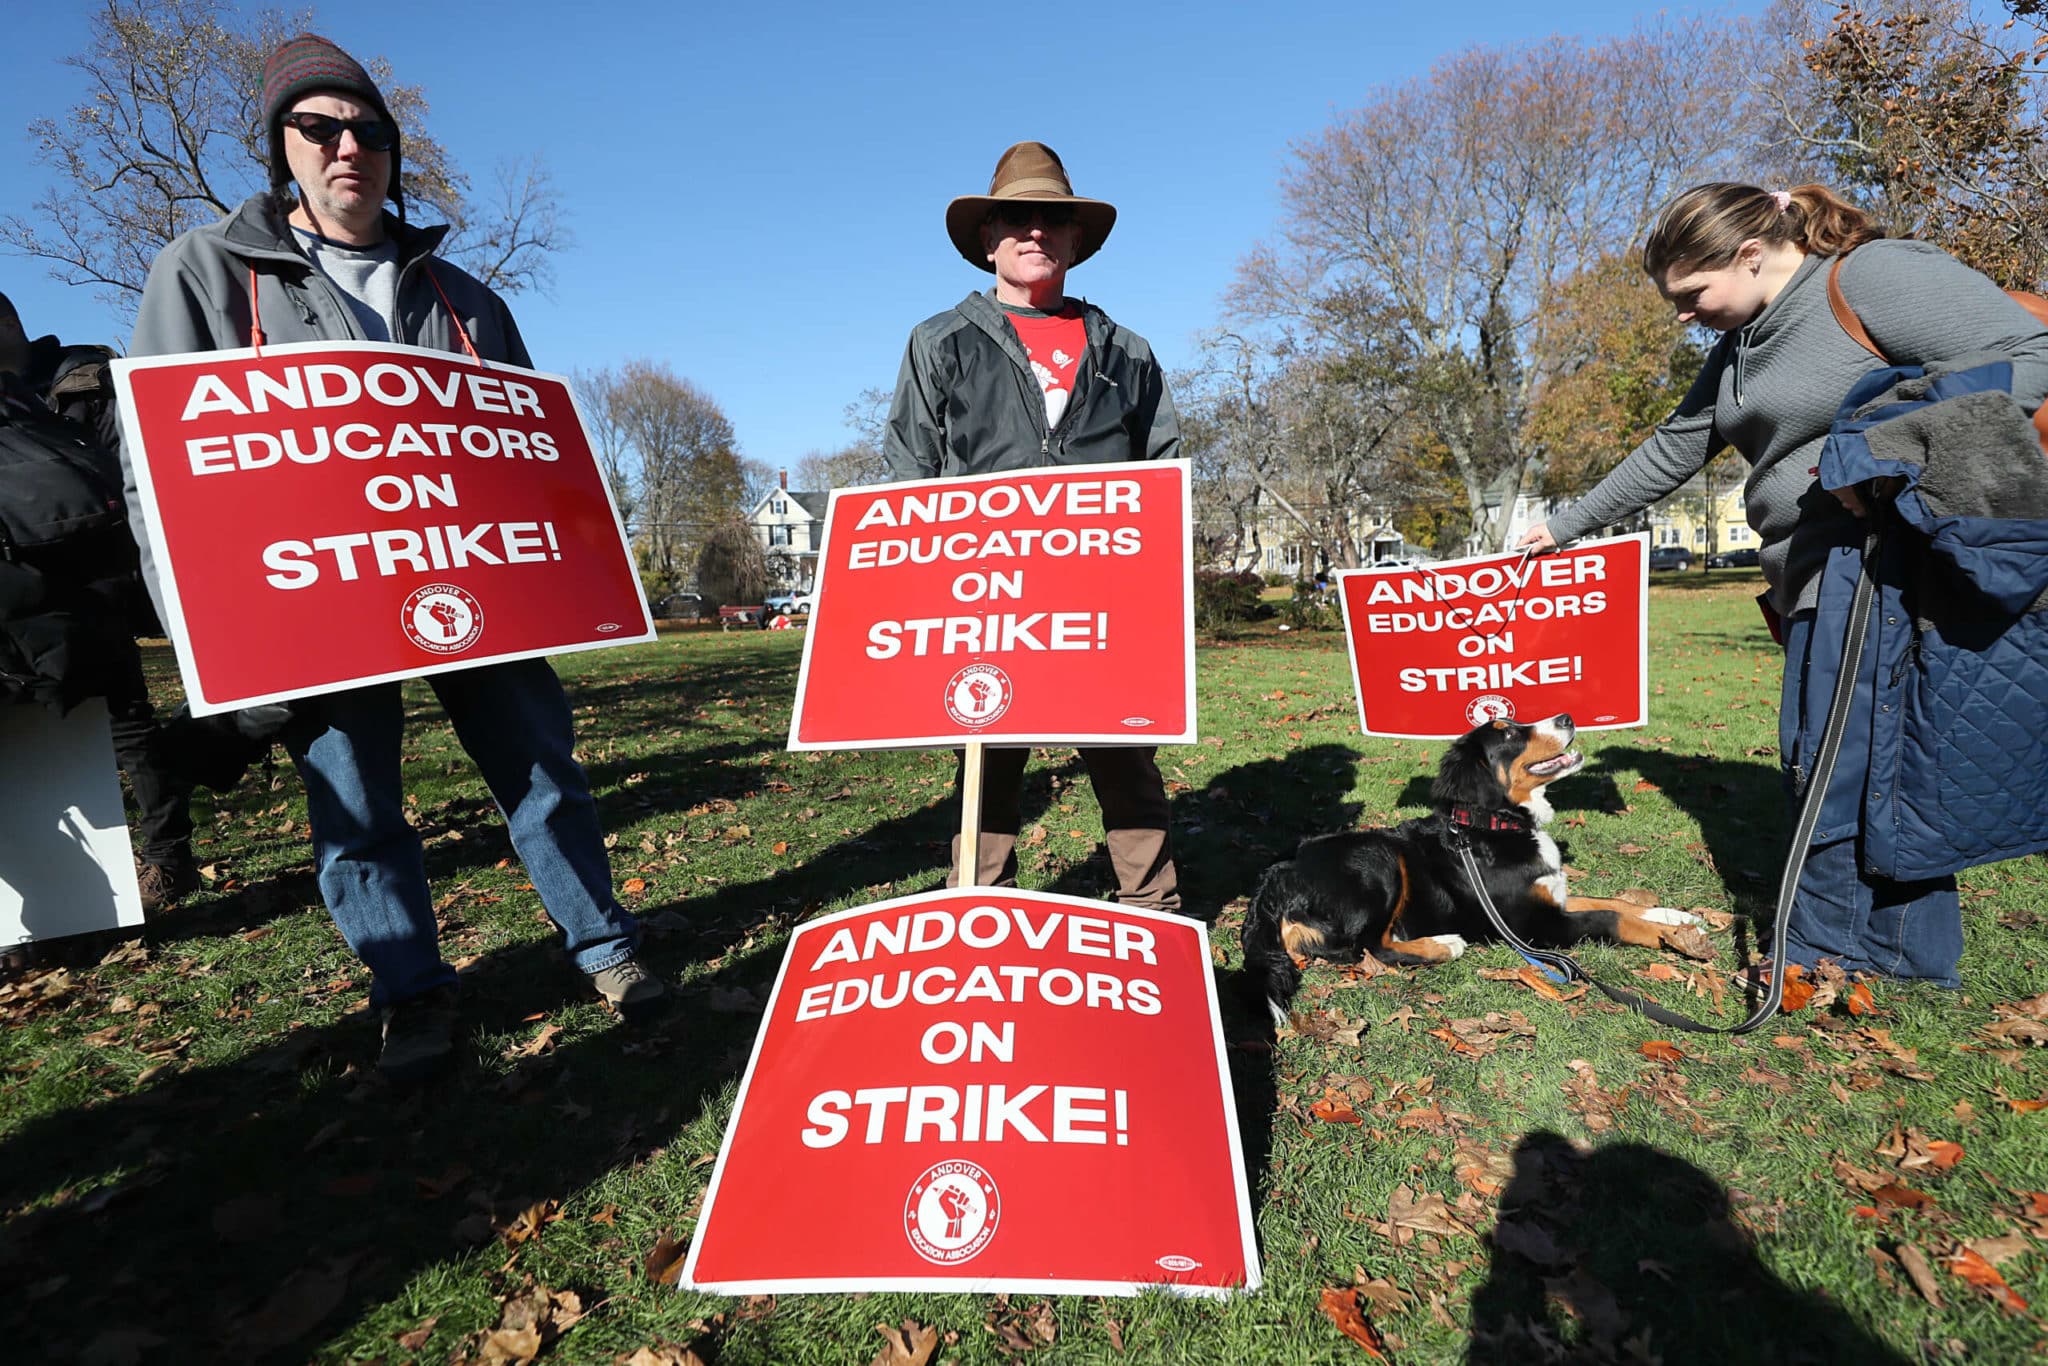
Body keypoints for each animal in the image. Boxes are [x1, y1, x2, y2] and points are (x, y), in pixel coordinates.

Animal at [1245, 716, 1695, 1023]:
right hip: (1379, 858)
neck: (1495, 825)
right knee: (1370, 947)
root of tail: (1276, 873)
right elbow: (1611, 917)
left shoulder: (1552, 897)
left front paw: (1675, 917)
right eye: (1509, 734)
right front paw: (1673, 938)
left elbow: (1613, 901)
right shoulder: (1536, 926)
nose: (1567, 717)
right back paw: (1443, 945)